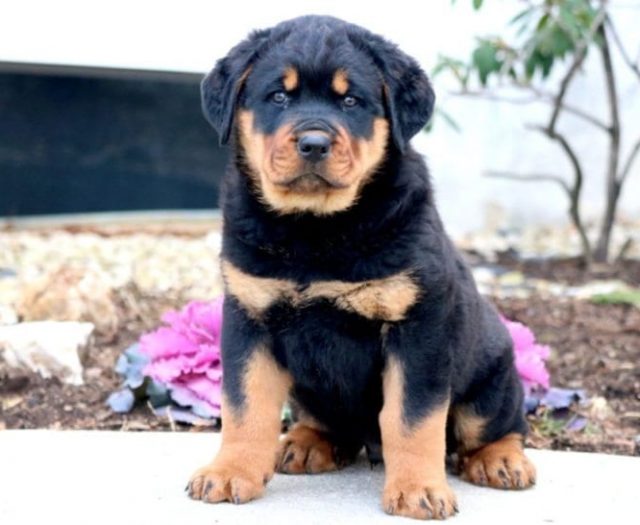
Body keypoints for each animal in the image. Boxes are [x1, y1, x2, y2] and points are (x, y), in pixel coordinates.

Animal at [188, 14, 536, 516]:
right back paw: (306, 442)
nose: (314, 143)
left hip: (492, 379)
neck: (315, 229)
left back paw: (501, 460)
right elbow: (244, 405)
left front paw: (417, 489)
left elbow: (412, 418)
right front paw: (230, 471)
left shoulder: (417, 329)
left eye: (351, 100)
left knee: (501, 425)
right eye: (278, 97)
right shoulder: (248, 317)